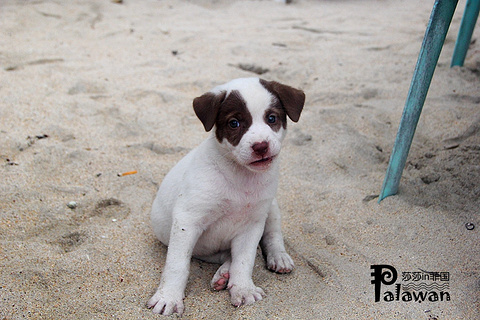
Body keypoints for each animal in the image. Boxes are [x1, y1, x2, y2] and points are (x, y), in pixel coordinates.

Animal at [146, 77, 306, 316]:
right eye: (234, 123)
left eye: (272, 118)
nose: (261, 146)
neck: (240, 177)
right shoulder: (187, 222)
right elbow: (177, 265)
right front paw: (169, 297)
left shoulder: (252, 225)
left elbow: (245, 260)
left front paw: (243, 289)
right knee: (226, 254)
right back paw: (223, 274)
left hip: (271, 207)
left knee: (271, 235)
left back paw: (277, 257)